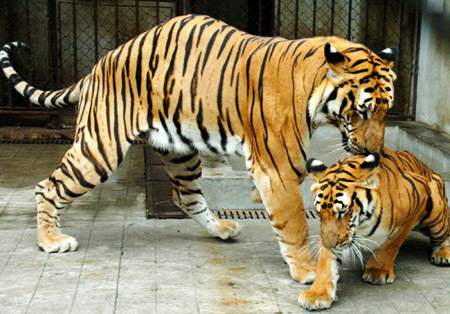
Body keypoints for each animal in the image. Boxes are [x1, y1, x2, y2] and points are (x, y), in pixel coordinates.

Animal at [2, 14, 398, 284]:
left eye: (386, 110)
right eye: (362, 110)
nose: (375, 153)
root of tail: (99, 64)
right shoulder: (278, 168)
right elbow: (295, 223)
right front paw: (306, 270)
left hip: (181, 152)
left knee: (186, 198)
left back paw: (221, 229)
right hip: (100, 147)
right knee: (47, 186)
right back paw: (50, 240)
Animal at [298, 147, 450, 310]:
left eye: (343, 211)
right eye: (319, 212)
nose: (329, 244)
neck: (363, 223)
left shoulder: (416, 200)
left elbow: (391, 245)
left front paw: (378, 271)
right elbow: (326, 262)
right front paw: (316, 293)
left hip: (436, 212)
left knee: (444, 235)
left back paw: (442, 254)